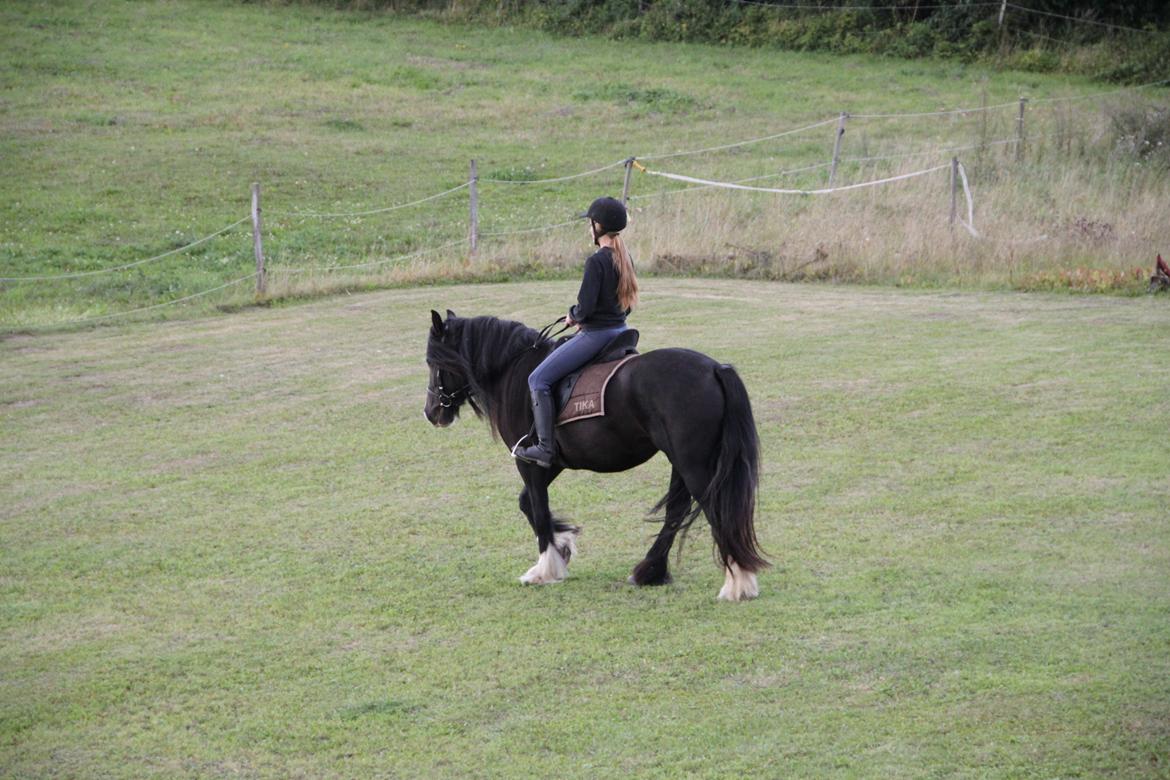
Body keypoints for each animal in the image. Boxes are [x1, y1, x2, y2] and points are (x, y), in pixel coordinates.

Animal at [421, 308, 767, 603]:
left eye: (431, 362)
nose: (431, 413)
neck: (515, 370)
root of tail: (715, 368)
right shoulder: (549, 462)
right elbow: (527, 504)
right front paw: (563, 543)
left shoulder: (529, 461)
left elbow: (538, 508)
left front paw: (545, 568)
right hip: (681, 461)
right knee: (676, 511)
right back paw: (650, 572)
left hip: (693, 463)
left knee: (714, 509)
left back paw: (738, 583)